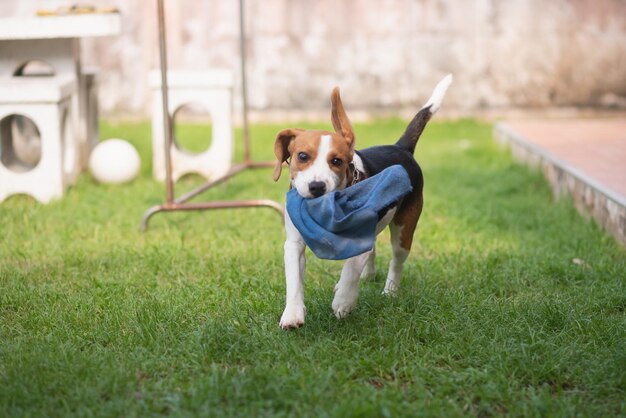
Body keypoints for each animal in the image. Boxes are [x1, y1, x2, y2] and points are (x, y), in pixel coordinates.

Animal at [272, 76, 448, 330]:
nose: (317, 186)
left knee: (396, 260)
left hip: (405, 229)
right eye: (302, 156)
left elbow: (351, 268)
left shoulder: (359, 238)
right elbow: (294, 279)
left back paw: (389, 290)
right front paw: (292, 314)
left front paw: (344, 301)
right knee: (372, 250)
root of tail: (401, 148)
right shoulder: (294, 243)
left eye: (337, 161)